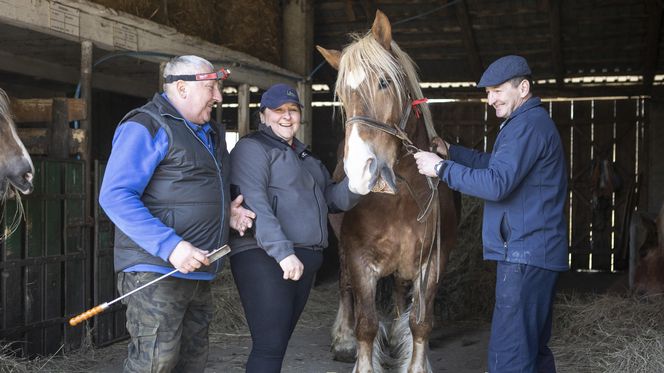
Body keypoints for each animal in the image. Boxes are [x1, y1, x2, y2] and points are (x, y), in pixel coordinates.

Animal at [318, 10, 456, 370]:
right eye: (342, 96)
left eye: (384, 82)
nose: (359, 170)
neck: (401, 199)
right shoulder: (358, 258)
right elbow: (366, 324)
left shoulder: (432, 261)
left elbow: (420, 322)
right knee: (345, 288)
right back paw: (343, 340)